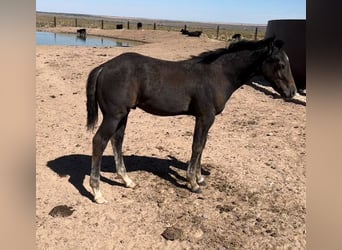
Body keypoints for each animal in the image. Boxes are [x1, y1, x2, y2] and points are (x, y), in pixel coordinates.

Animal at [86, 36, 296, 203]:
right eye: (281, 64)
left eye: (288, 62)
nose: (292, 92)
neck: (217, 75)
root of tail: (104, 67)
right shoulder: (205, 117)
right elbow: (197, 146)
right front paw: (193, 183)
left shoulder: (206, 119)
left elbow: (202, 145)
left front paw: (200, 177)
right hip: (113, 116)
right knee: (99, 141)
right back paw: (97, 192)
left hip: (123, 115)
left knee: (117, 141)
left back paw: (127, 180)